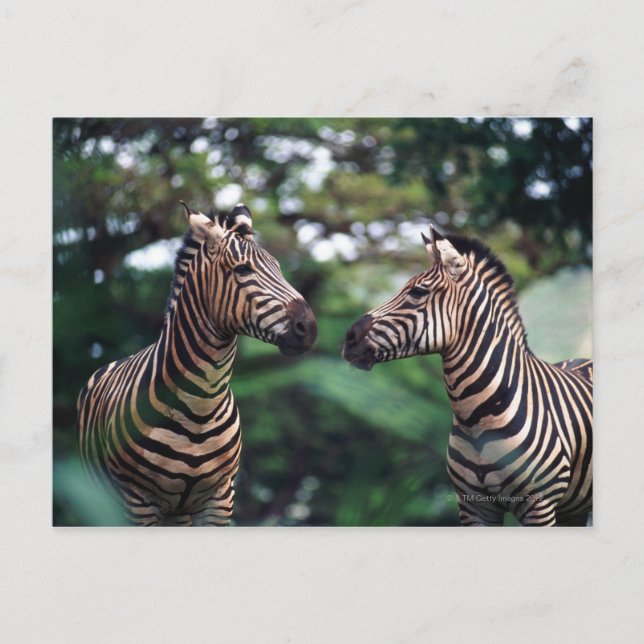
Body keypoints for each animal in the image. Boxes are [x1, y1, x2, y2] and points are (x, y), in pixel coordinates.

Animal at [77, 202, 317, 526]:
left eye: (278, 269)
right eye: (242, 270)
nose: (310, 329)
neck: (200, 404)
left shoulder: (220, 498)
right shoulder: (138, 501)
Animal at [343, 226, 592, 526]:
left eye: (418, 292)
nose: (348, 339)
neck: (477, 417)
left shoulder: (539, 505)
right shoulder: (474, 506)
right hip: (571, 509)